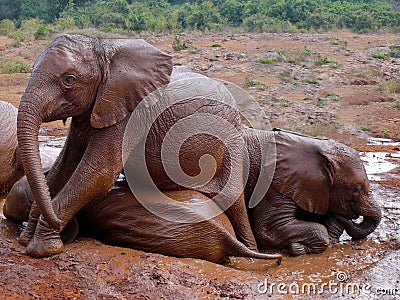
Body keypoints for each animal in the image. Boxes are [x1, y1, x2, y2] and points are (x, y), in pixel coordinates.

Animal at [17, 34, 258, 256]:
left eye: (69, 79)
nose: (64, 225)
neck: (105, 48)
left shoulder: (131, 113)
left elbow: (98, 173)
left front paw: (43, 249)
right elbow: (63, 168)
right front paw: (26, 238)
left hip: (231, 138)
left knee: (232, 197)